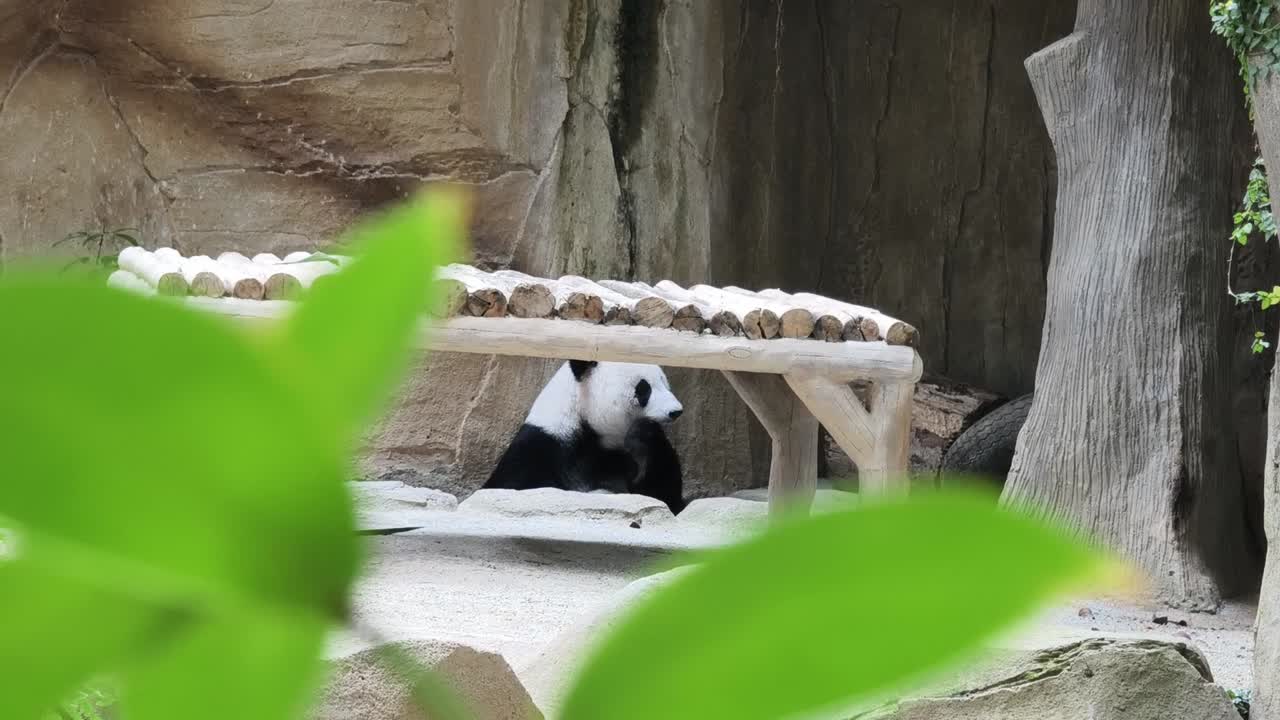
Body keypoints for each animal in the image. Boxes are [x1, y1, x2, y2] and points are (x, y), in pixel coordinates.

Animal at [483, 360, 687, 513]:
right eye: (643, 388)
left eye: (663, 381)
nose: (676, 411)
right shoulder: (541, 446)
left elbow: (665, 495)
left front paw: (643, 433)